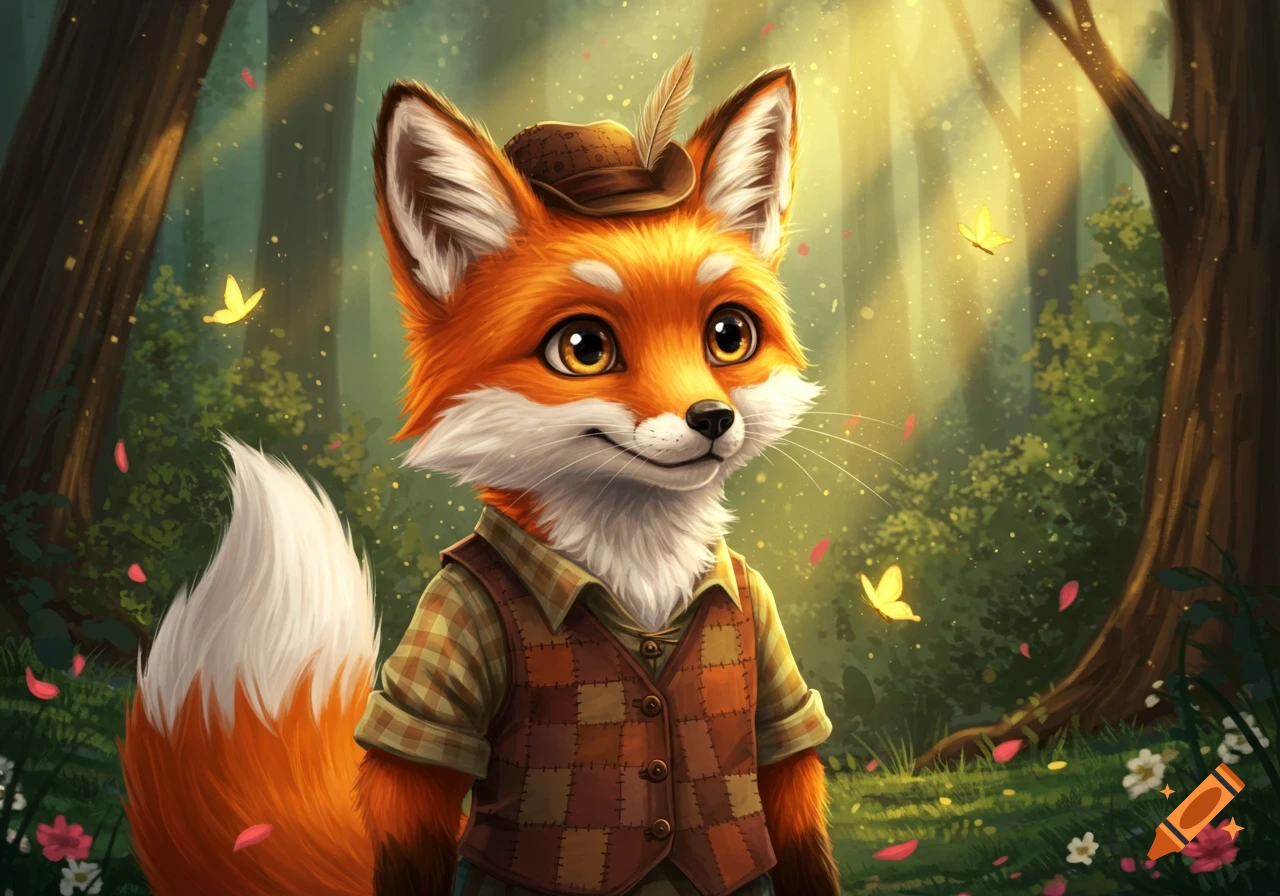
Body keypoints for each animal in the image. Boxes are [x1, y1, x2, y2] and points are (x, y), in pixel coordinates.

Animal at [121, 56, 839, 896]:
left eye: (729, 335)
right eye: (584, 348)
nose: (713, 419)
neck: (638, 576)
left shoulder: (770, 666)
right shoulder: (447, 646)